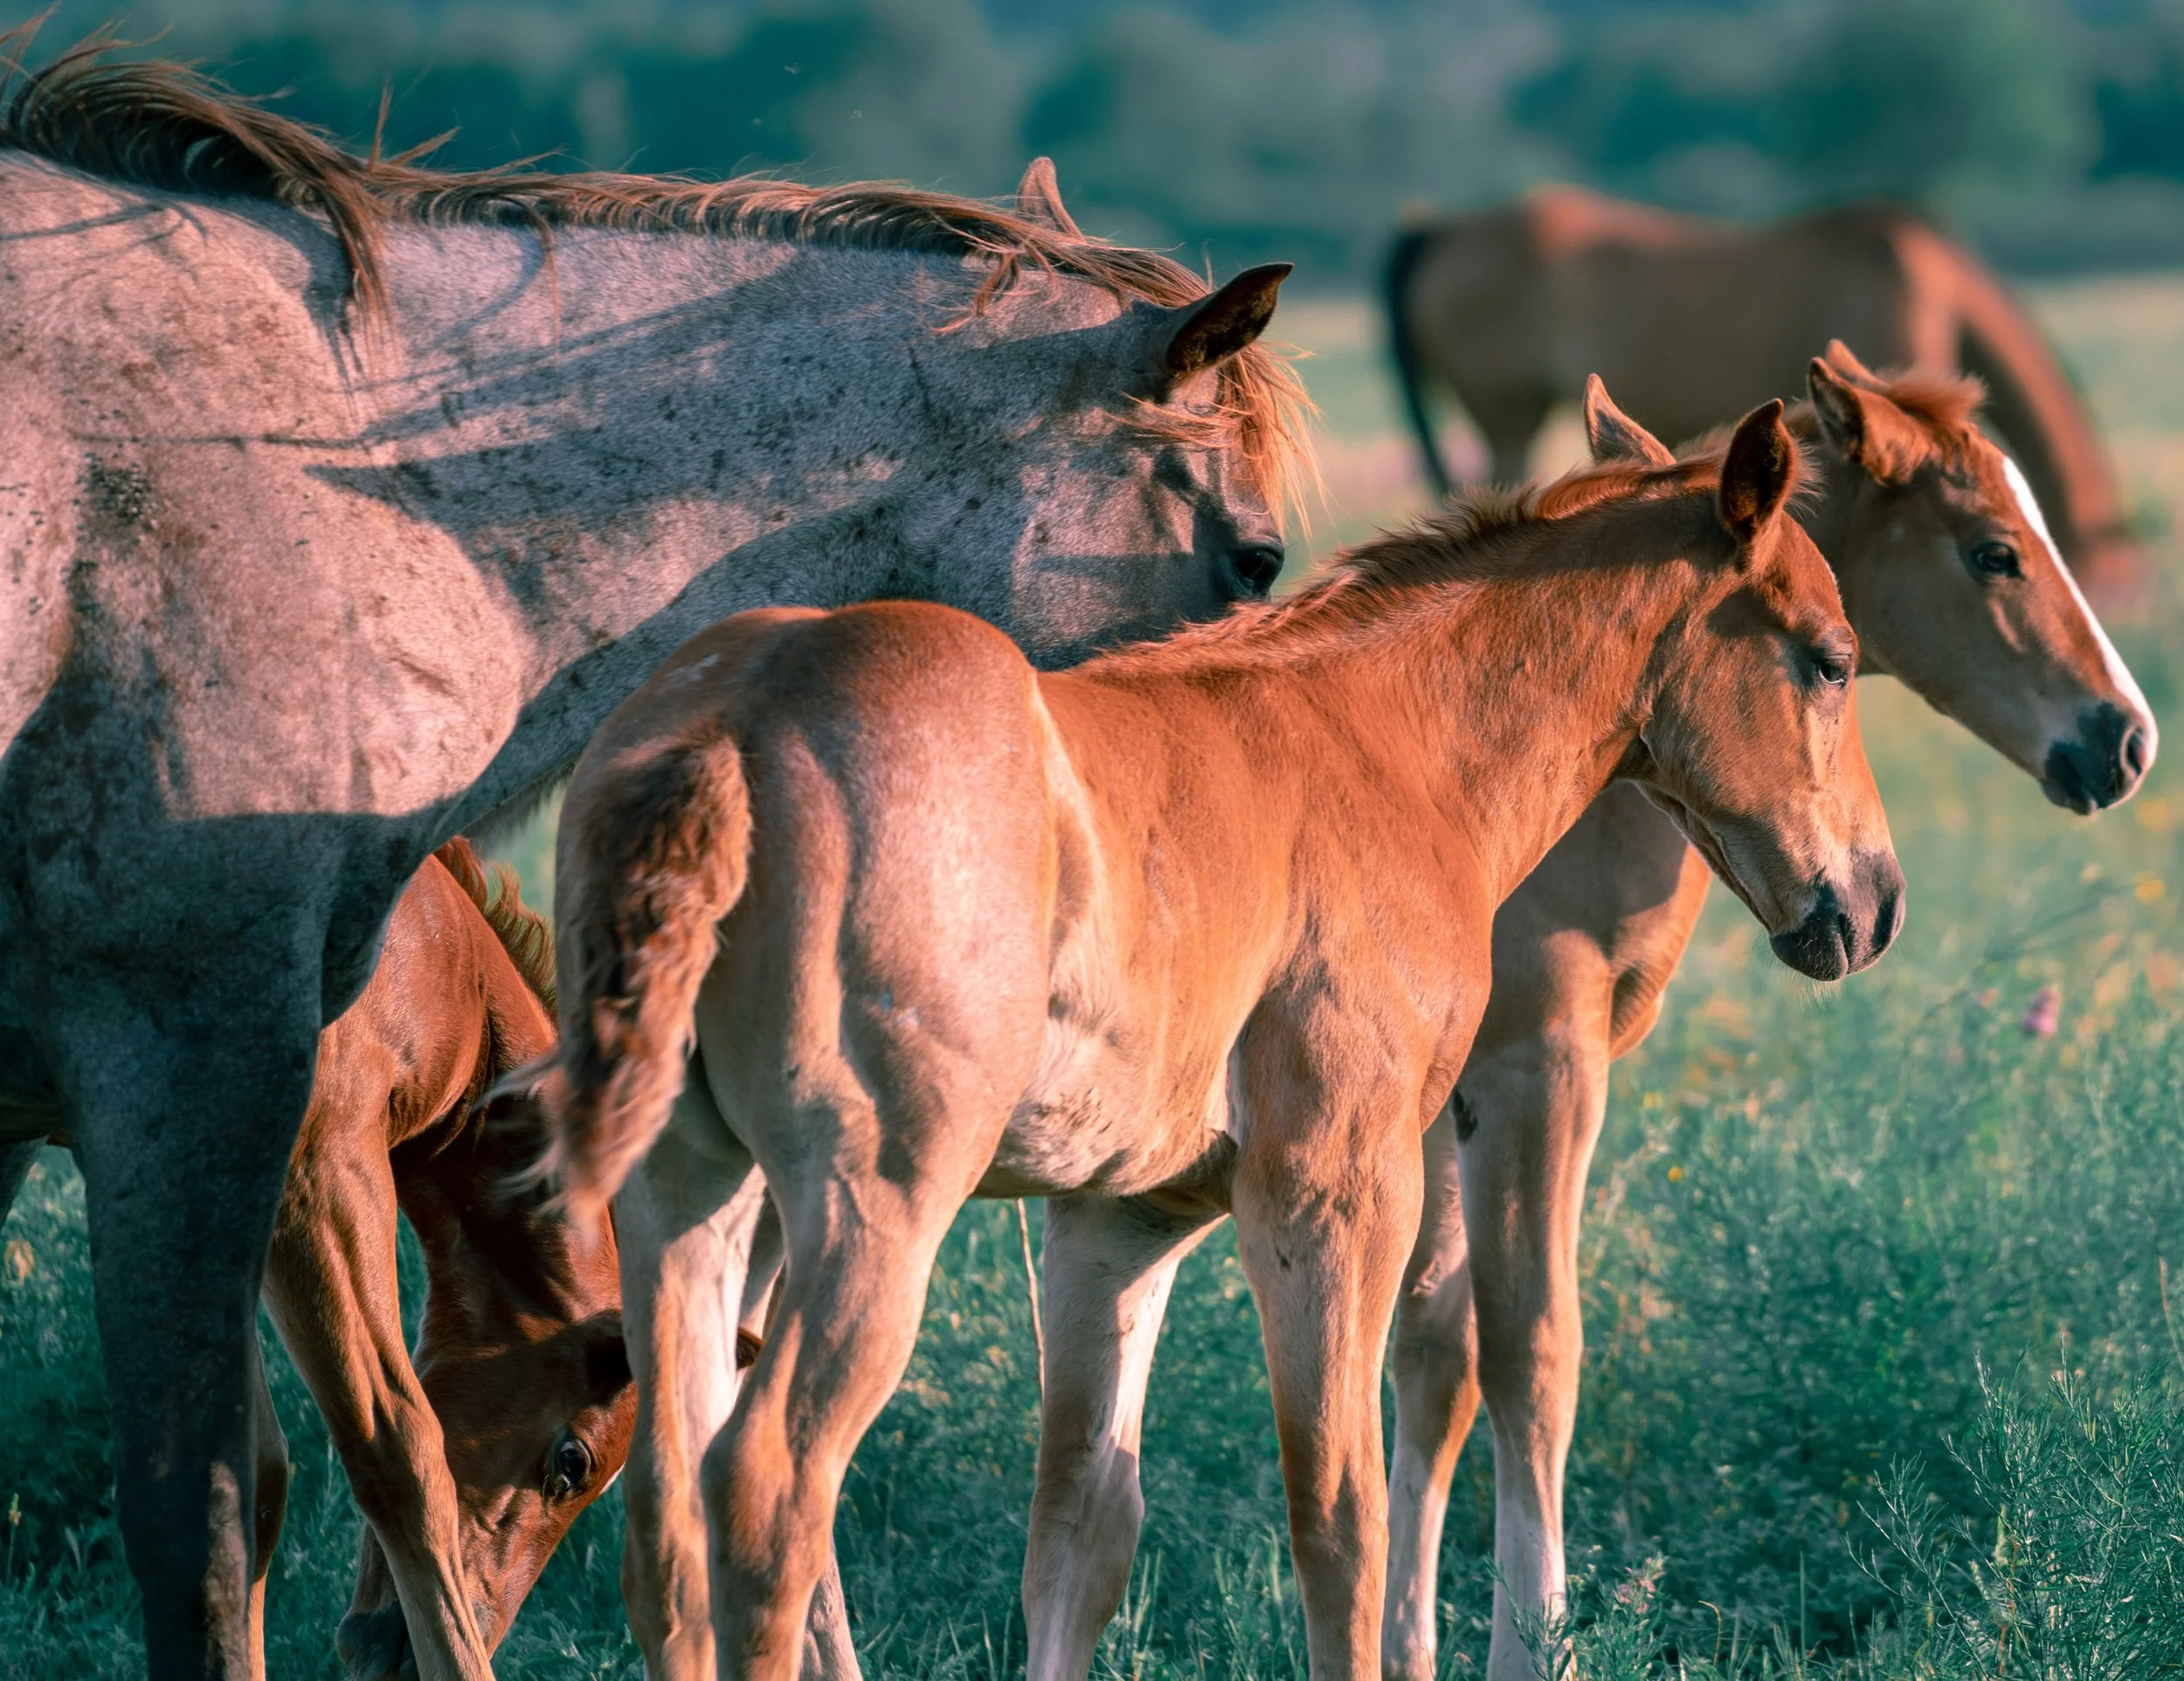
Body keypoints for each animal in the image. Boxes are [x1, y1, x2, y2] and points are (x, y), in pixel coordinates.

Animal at [531, 387, 1902, 1681]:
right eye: (1830, 660)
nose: (1874, 902)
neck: (1383, 747)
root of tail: (726, 721)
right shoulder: (1337, 1188)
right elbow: (1341, 1515)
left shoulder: (1120, 1219)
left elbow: (1082, 1529)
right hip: (874, 1201)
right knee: (766, 1489)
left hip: (691, 1193)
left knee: (667, 1520)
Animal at [1378, 350, 2156, 1681]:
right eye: (1995, 551)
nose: (2127, 740)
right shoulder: (1538, 1066)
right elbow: (1531, 1348)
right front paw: (1532, 1642)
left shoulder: (1452, 1095)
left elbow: (1431, 1357)